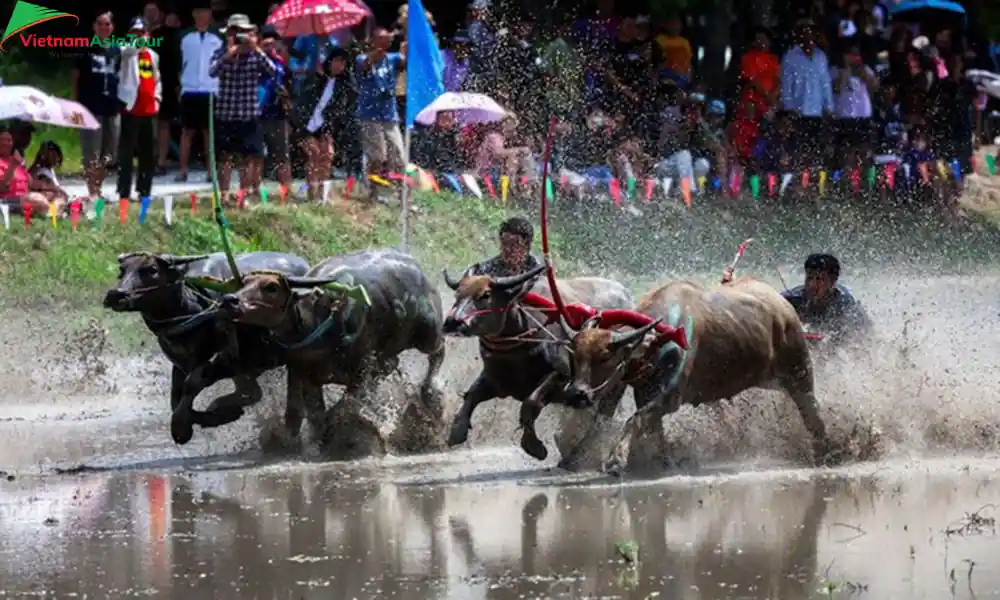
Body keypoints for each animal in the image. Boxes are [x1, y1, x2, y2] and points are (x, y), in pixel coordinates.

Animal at [102, 251, 308, 442]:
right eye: (122, 270)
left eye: (151, 270)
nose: (115, 295)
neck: (189, 310)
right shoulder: (182, 363)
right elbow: (175, 397)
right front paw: (214, 415)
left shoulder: (224, 358)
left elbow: (192, 385)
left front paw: (183, 426)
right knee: (252, 393)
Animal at [223, 251, 446, 458]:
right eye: (245, 283)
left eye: (271, 287)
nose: (230, 300)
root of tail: (417, 269)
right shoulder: (303, 373)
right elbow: (306, 413)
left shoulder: (362, 371)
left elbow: (343, 407)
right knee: (395, 363)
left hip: (428, 335)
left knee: (438, 351)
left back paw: (431, 395)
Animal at [444, 264, 632, 468]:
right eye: (457, 294)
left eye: (485, 295)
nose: (452, 322)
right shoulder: (496, 381)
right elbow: (471, 396)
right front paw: (457, 432)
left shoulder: (561, 376)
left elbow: (531, 402)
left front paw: (534, 446)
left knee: (606, 414)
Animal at [564, 278, 836, 478]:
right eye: (574, 356)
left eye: (605, 358)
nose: (576, 394)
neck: (658, 341)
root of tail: (784, 307)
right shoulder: (637, 389)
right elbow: (619, 421)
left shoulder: (669, 397)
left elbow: (634, 419)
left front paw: (615, 460)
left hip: (799, 371)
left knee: (812, 414)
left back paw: (825, 454)